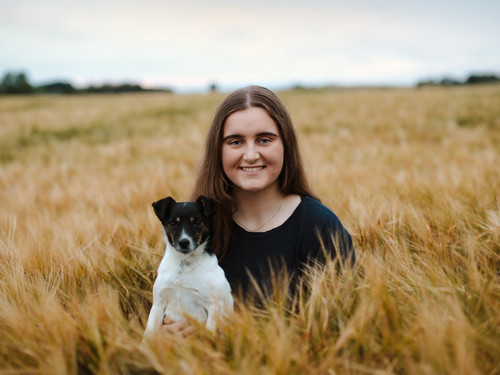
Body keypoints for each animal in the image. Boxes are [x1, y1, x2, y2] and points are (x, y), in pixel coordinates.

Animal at [142, 195, 233, 342]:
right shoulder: (158, 304)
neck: (185, 264)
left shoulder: (214, 306)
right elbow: (148, 333)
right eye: (173, 224)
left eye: (197, 222)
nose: (184, 242)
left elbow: (209, 335)